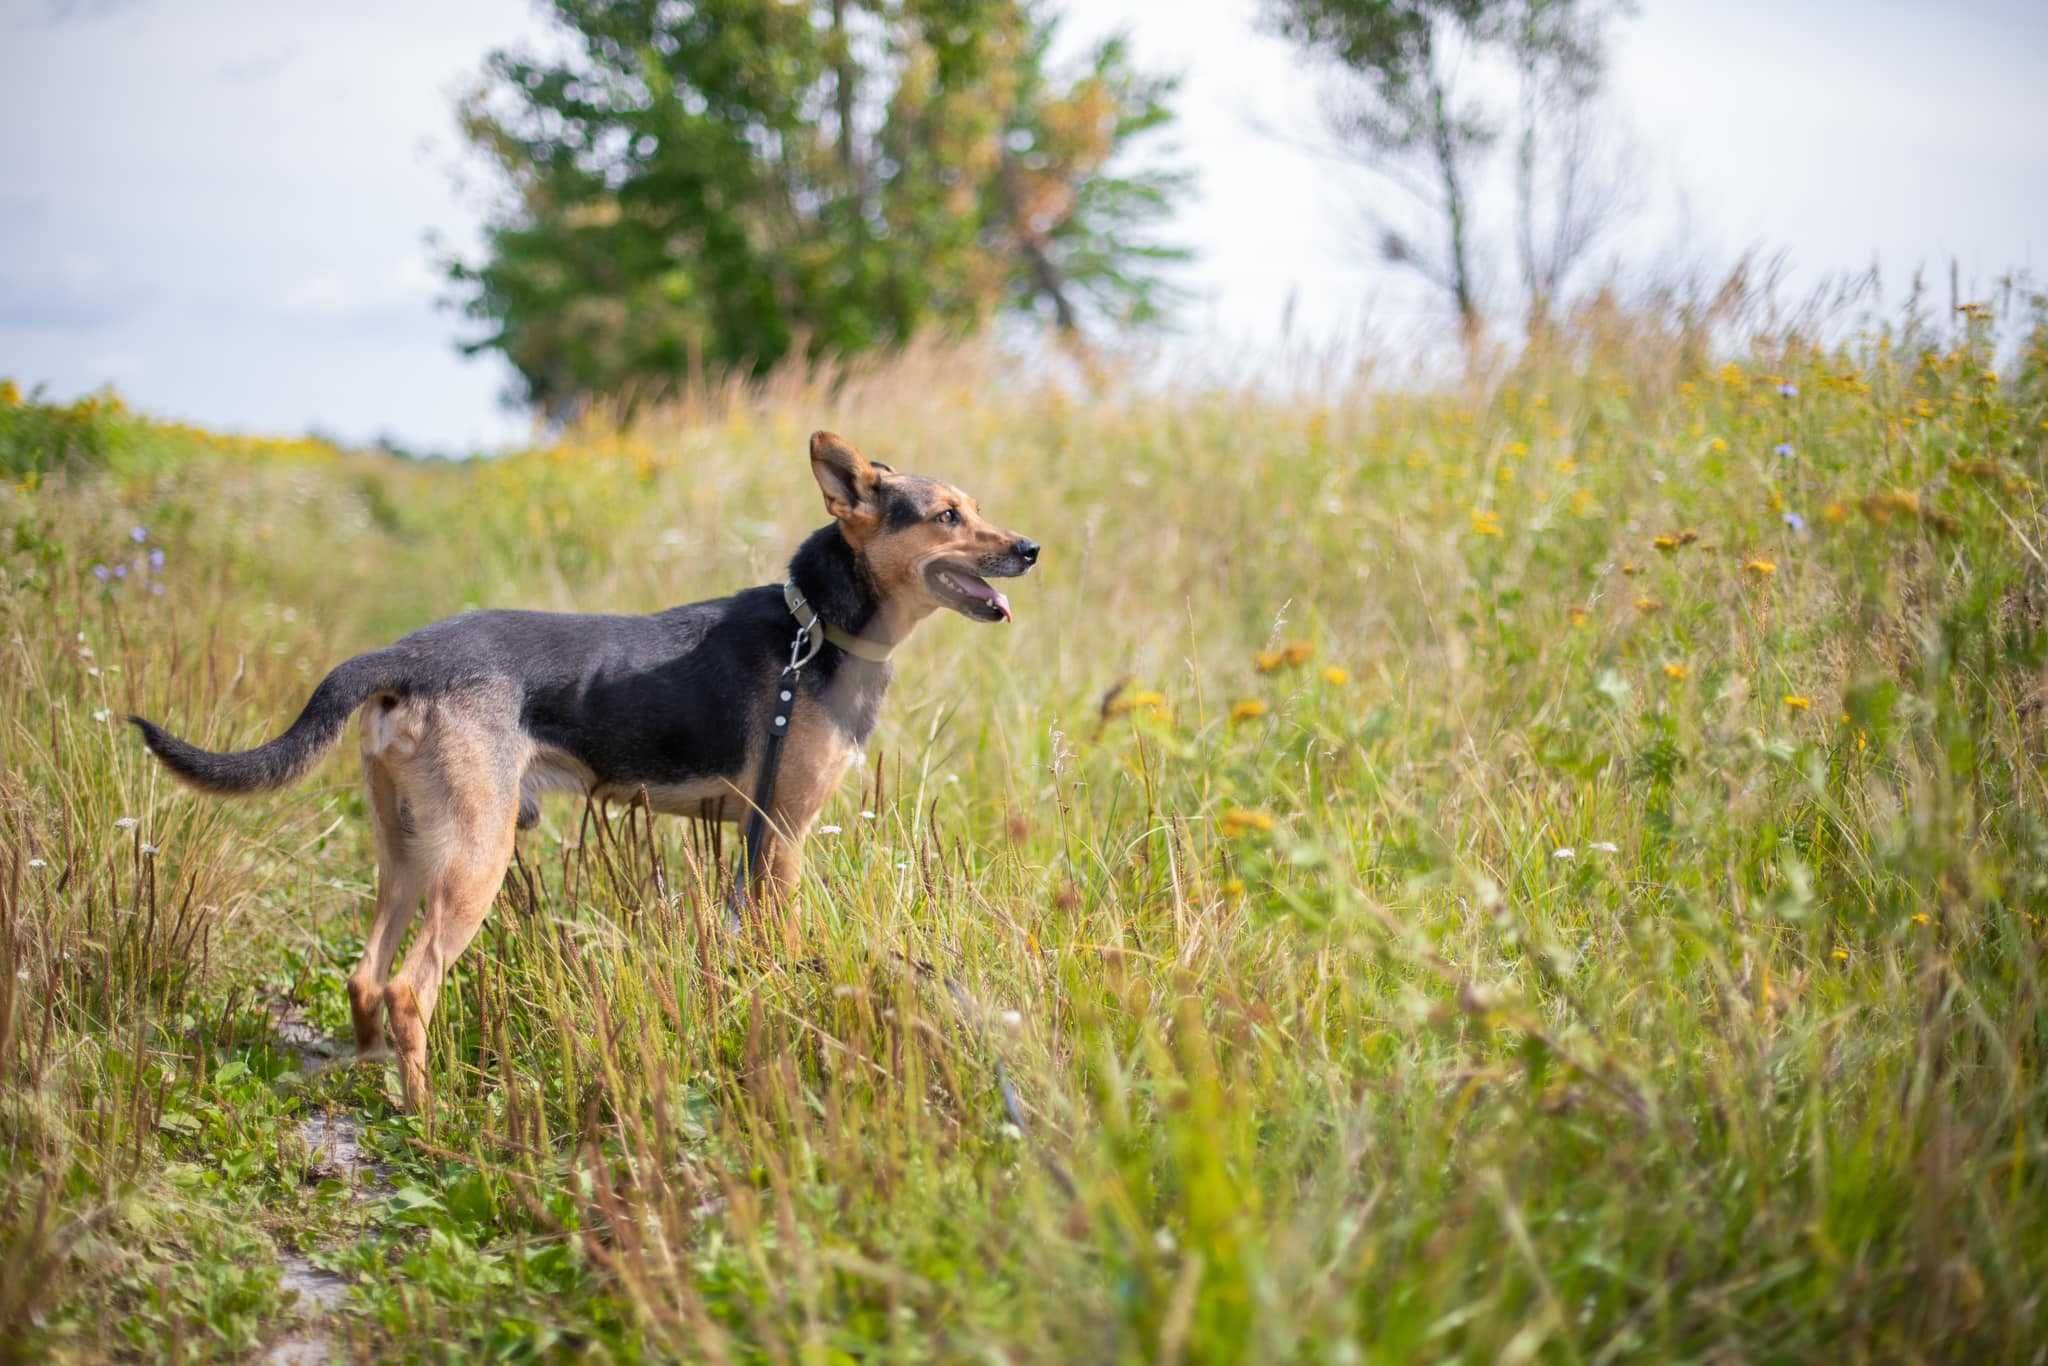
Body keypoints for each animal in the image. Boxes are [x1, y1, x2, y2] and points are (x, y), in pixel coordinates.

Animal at [132, 436, 1040, 1114]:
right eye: (947, 516)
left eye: (976, 510)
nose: (1030, 549)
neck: (816, 626)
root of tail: (404, 657)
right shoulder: (780, 834)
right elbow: (780, 940)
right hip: (476, 857)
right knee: (410, 988)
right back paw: (429, 1113)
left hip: (408, 846)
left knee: (365, 977)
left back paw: (373, 1073)